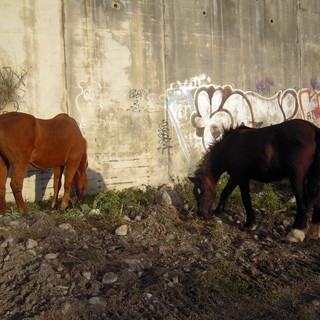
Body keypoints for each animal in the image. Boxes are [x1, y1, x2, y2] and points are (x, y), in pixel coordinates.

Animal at [189, 119, 320, 242]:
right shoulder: (234, 176)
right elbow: (225, 192)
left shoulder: (241, 178)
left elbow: (246, 199)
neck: (228, 146)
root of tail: (314, 129)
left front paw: (250, 223)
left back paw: (295, 233)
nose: (201, 214)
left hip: (297, 177)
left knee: (302, 203)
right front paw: (218, 210)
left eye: (204, 192)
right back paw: (314, 230)